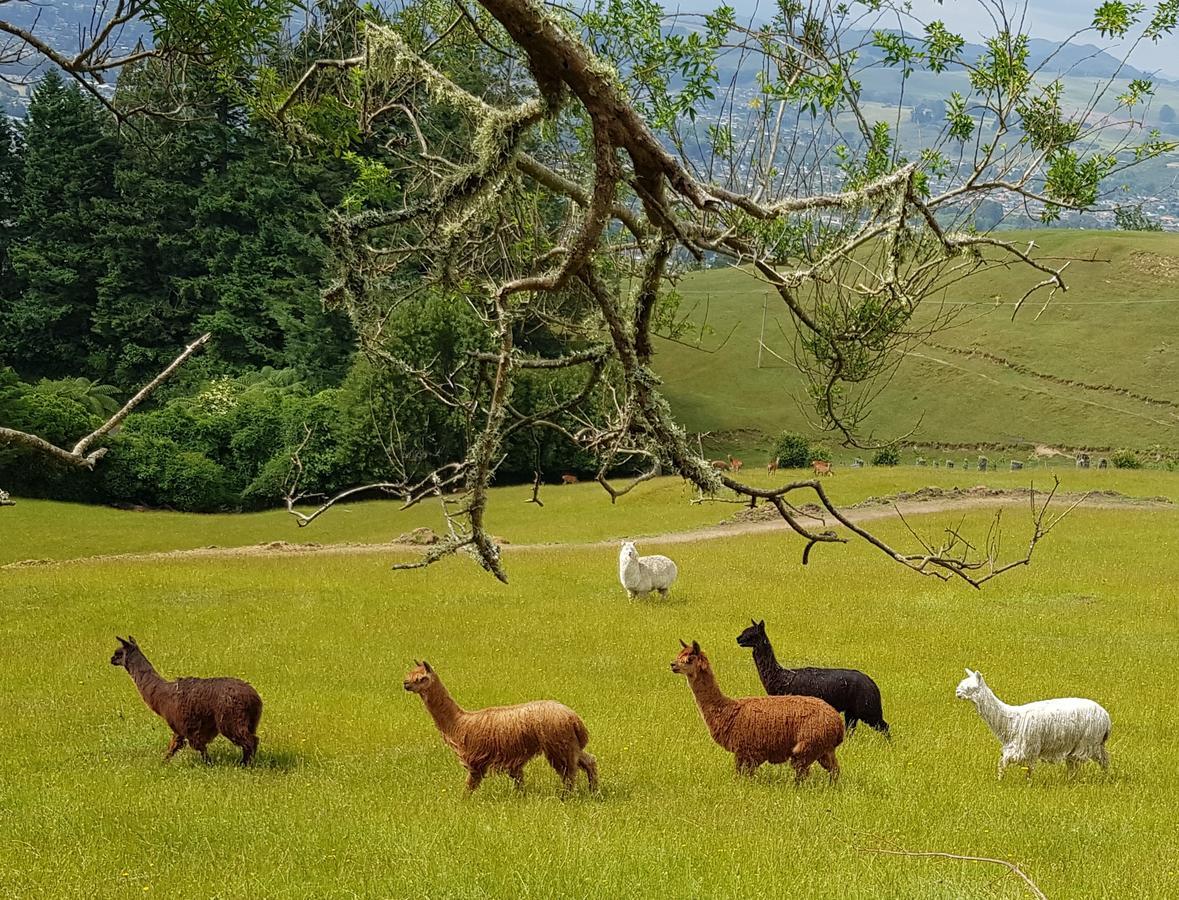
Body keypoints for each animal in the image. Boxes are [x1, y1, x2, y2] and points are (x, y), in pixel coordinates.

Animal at [109, 636, 262, 764]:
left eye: (118, 653)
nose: (110, 659)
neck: (162, 695)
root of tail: (254, 697)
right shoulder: (182, 727)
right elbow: (174, 746)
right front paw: (163, 763)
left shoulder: (184, 725)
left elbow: (196, 748)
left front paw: (209, 764)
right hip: (249, 721)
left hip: (231, 719)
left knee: (250, 740)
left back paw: (245, 764)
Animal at [405, 660, 598, 792]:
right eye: (408, 675)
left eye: (421, 678)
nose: (405, 684)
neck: (459, 723)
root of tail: (574, 718)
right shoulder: (511, 761)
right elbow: (519, 785)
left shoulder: (476, 760)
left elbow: (468, 788)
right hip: (568, 743)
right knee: (588, 761)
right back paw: (593, 791)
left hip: (558, 744)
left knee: (569, 772)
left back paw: (567, 797)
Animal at [669, 641, 844, 783]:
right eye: (678, 655)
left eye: (689, 659)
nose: (672, 665)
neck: (726, 710)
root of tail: (838, 722)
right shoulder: (745, 753)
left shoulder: (745, 750)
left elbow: (742, 777)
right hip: (825, 748)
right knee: (834, 770)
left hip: (807, 745)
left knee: (803, 773)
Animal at [730, 622, 886, 736]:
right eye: (745, 631)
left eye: (751, 633)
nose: (738, 638)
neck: (780, 677)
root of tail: (872, 683)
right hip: (852, 711)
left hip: (867, 707)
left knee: (884, 726)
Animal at [952, 669, 1108, 783]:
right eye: (961, 683)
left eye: (970, 687)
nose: (957, 693)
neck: (1010, 721)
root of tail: (1106, 717)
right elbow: (1007, 764)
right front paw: (1002, 781)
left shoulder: (1028, 747)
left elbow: (1016, 766)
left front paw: (1012, 782)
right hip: (1088, 743)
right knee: (1096, 760)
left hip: (1088, 741)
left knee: (1097, 760)